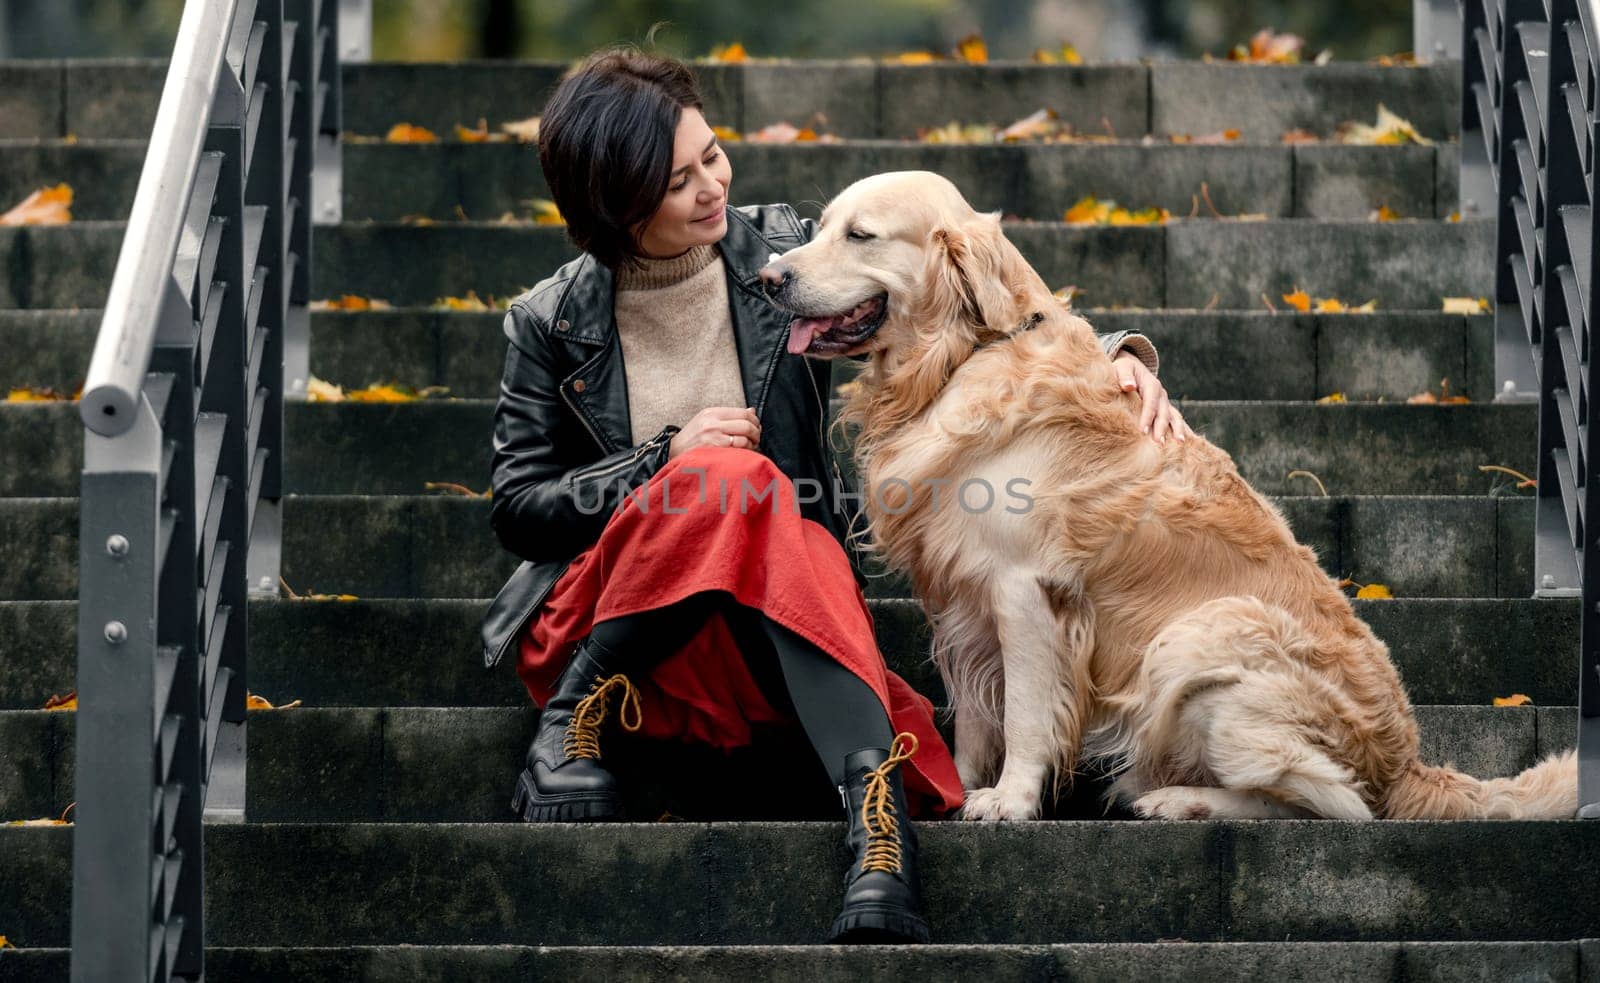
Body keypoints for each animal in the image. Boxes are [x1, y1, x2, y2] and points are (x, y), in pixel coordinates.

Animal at [758, 171, 1574, 826]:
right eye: (818, 227)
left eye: (859, 235)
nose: (768, 278)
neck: (961, 356)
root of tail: (1405, 765)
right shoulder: (961, 598)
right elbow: (975, 718)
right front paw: (954, 787)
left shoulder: (1025, 589)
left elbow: (1023, 715)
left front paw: (1010, 800)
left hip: (1197, 637)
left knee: (1331, 800)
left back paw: (1178, 799)